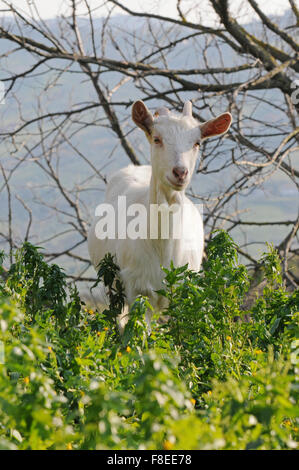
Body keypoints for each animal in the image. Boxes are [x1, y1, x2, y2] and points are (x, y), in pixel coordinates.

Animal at [88, 100, 233, 330]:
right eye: (157, 139)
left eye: (197, 143)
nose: (180, 172)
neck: (163, 248)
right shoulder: (137, 289)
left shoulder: (184, 289)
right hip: (111, 281)